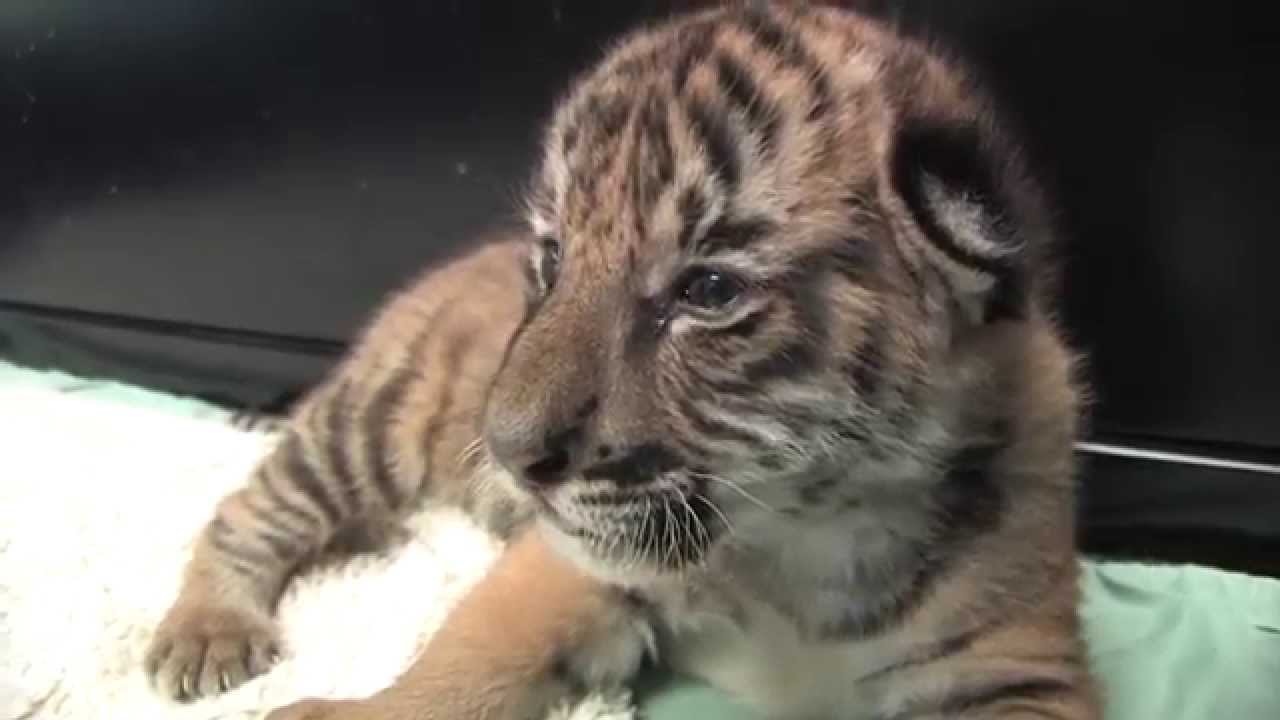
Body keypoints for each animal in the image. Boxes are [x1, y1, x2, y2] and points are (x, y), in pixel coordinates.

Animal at [144, 2, 1099, 719]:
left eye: (707, 290)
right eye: (554, 260)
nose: (508, 457)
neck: (804, 548)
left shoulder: (1018, 667)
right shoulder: (568, 567)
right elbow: (466, 660)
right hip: (369, 425)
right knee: (249, 509)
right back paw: (206, 634)